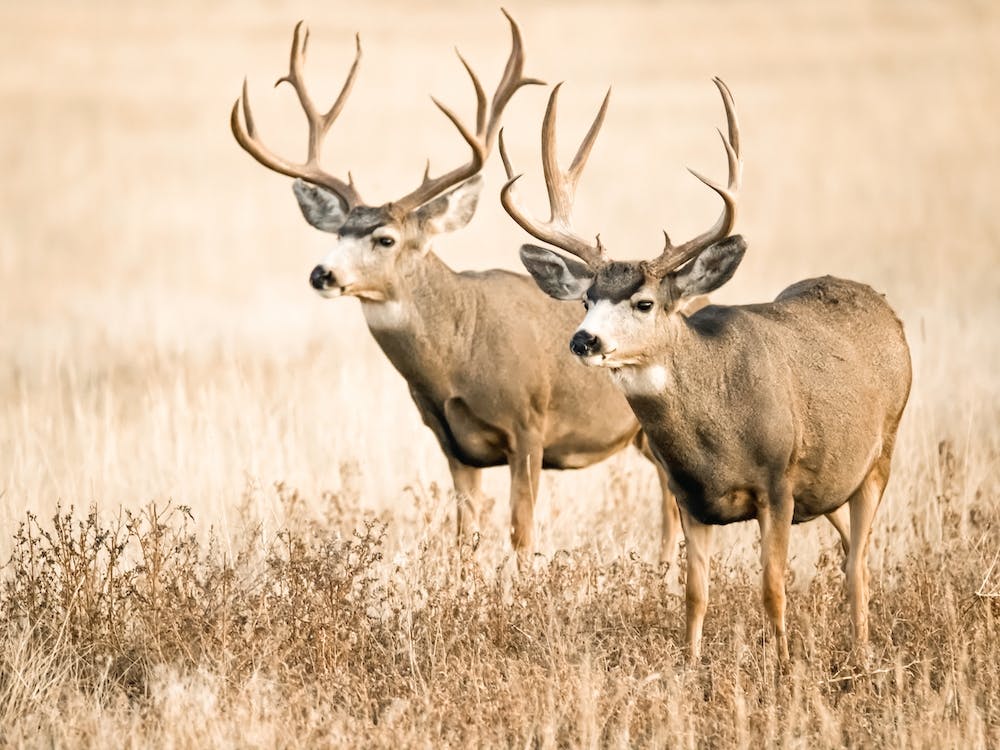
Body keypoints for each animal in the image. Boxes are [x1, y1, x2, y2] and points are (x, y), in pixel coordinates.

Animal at [230, 12, 686, 567]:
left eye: (386, 238)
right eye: (337, 232)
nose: (323, 274)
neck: (458, 355)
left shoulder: (529, 426)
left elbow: (521, 534)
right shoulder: (452, 444)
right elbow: (463, 538)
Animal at [499, 79, 912, 661]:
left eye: (645, 302)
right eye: (586, 300)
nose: (584, 340)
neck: (717, 432)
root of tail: (885, 310)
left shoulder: (779, 483)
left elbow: (772, 587)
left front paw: (783, 666)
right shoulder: (689, 496)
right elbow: (694, 592)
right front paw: (690, 665)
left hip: (882, 452)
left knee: (858, 565)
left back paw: (862, 652)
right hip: (835, 478)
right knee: (852, 549)